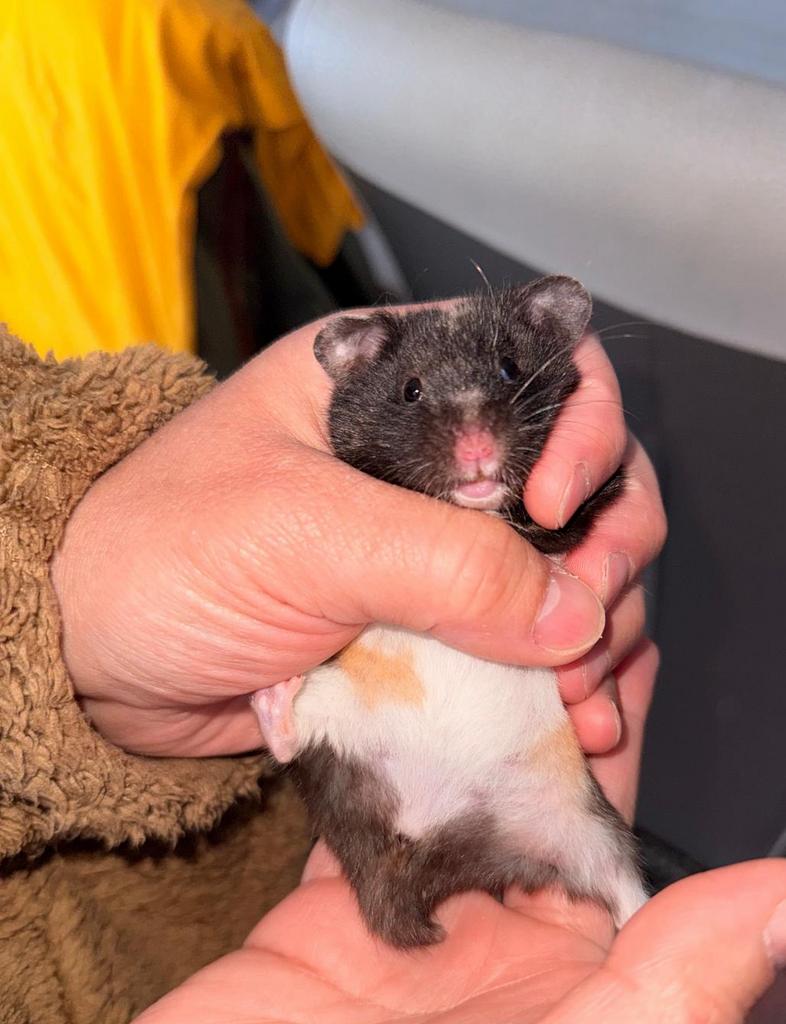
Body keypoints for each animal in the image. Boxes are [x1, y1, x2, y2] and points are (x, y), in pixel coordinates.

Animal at [252, 275, 647, 948]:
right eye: (411, 389)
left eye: (510, 368)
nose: (477, 450)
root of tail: (421, 840)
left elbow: (559, 520)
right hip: (337, 720)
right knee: (292, 737)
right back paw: (271, 694)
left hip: (584, 826)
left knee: (620, 883)